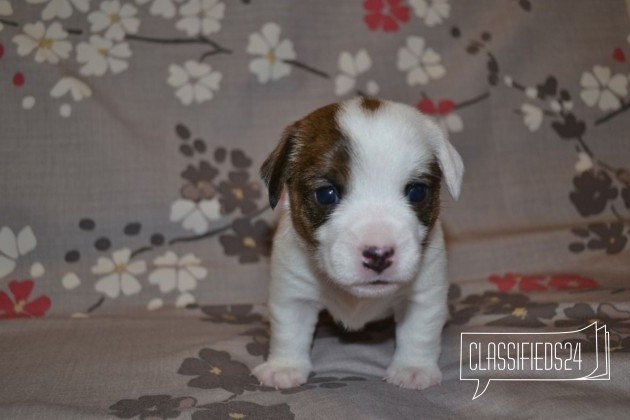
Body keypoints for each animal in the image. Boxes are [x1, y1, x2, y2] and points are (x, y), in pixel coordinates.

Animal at [254, 97, 466, 388]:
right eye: (326, 194)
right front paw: (284, 366)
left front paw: (413, 368)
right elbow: (289, 330)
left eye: (417, 192)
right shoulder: (292, 291)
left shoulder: (425, 293)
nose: (378, 254)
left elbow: (419, 331)